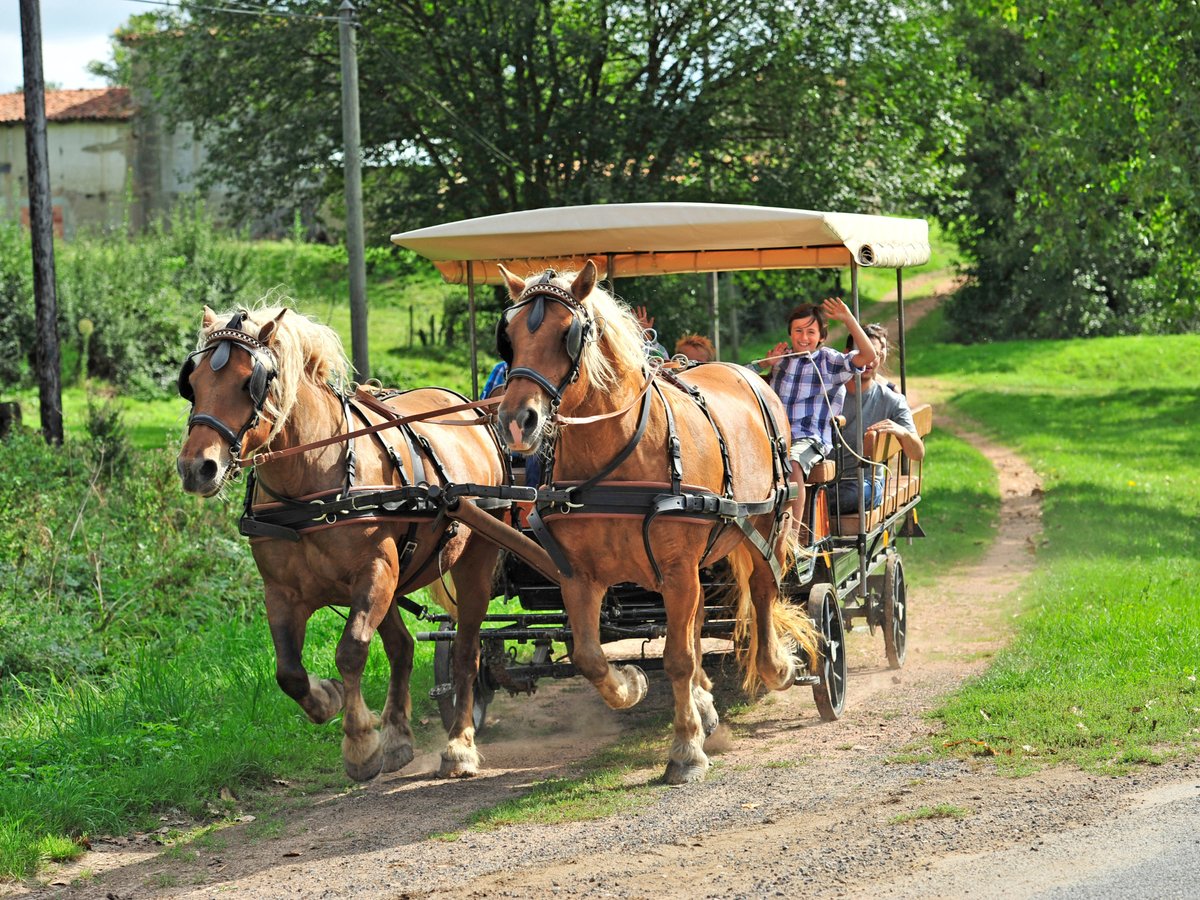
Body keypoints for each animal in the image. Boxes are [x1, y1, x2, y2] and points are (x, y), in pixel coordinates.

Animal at [174, 304, 501, 782]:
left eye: (249, 381)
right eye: (192, 382)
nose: (197, 468)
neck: (309, 482)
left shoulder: (373, 574)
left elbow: (349, 653)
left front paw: (360, 742)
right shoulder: (283, 592)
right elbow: (288, 671)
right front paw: (328, 699)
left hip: (472, 560)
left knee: (466, 650)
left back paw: (459, 745)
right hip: (395, 581)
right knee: (402, 647)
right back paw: (399, 737)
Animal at [492, 260, 820, 782]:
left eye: (568, 333)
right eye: (511, 336)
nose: (514, 422)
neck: (617, 452)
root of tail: (745, 372)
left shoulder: (677, 567)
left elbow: (678, 658)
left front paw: (685, 749)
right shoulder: (579, 575)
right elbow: (589, 656)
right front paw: (631, 684)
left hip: (766, 526)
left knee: (764, 593)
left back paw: (777, 666)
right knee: (700, 617)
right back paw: (705, 704)